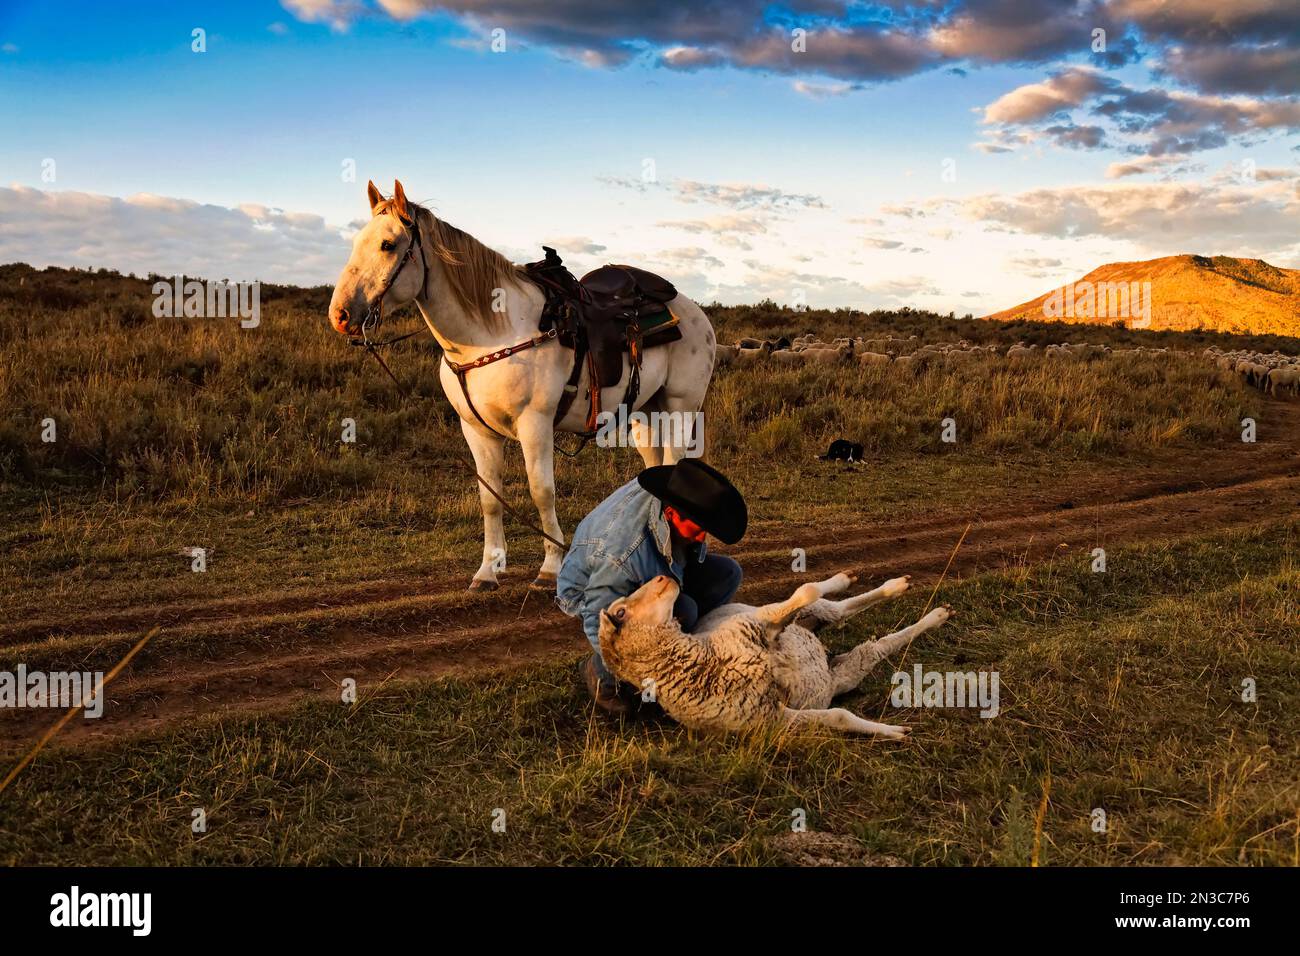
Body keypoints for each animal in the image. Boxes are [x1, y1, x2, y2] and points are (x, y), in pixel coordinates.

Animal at [325, 180, 712, 590]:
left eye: (388, 244)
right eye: (356, 241)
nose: (340, 315)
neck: (492, 334)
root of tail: (695, 311)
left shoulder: (535, 423)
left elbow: (542, 492)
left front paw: (550, 567)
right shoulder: (476, 430)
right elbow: (489, 498)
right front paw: (487, 571)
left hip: (680, 406)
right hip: (643, 413)